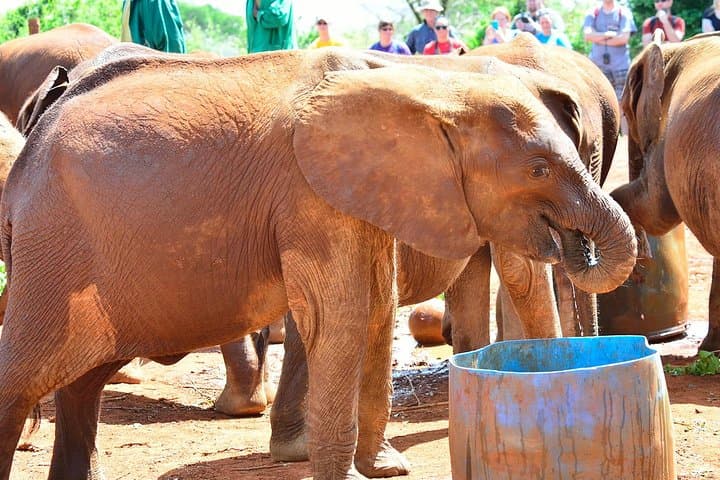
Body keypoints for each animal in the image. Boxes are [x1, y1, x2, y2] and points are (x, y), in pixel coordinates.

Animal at [0, 48, 636, 480]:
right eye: (538, 168)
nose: (578, 243)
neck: (429, 85)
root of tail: (29, 149)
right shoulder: (311, 195)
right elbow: (345, 316)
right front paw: (352, 475)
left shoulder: (364, 193)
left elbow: (375, 309)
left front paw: (384, 469)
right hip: (55, 249)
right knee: (25, 374)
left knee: (83, 383)